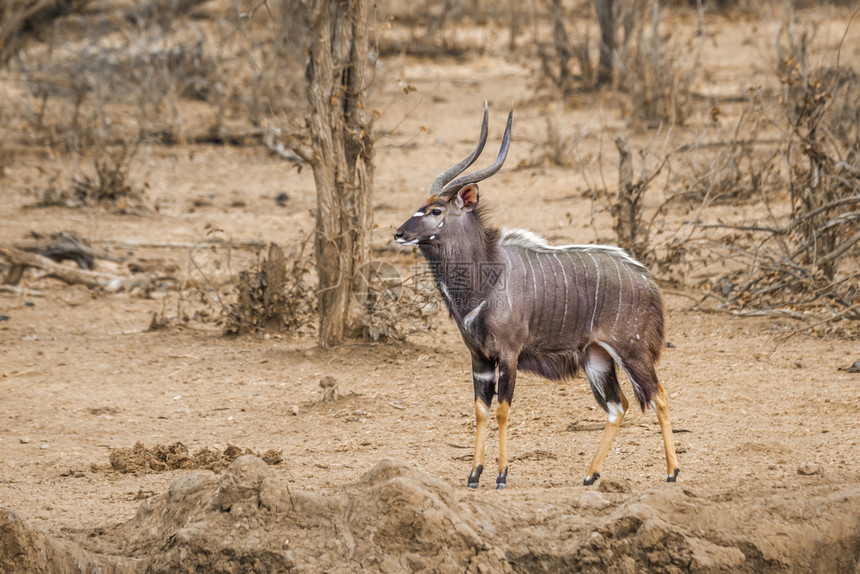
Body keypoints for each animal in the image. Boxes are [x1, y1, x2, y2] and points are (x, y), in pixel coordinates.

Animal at [394, 104, 680, 490]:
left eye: (436, 210)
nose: (399, 233)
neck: (485, 279)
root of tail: (647, 281)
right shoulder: (479, 358)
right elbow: (480, 410)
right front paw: (474, 474)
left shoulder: (508, 354)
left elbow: (502, 410)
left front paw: (501, 476)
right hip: (597, 358)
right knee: (617, 405)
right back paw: (590, 475)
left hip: (632, 352)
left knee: (659, 396)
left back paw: (672, 472)